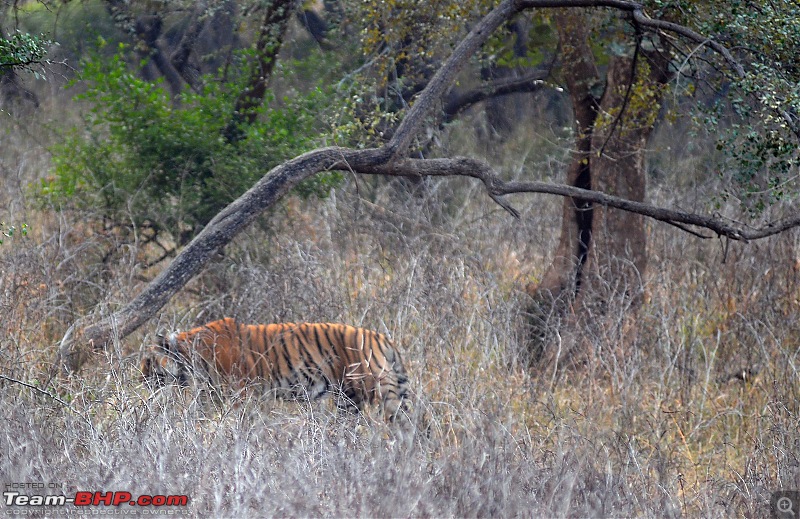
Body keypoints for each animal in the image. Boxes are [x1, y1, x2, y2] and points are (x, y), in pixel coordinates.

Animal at [140, 316, 410, 422]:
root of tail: (382, 338)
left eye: (148, 363)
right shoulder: (212, 394)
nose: (140, 381)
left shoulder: (239, 394)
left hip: (358, 393)